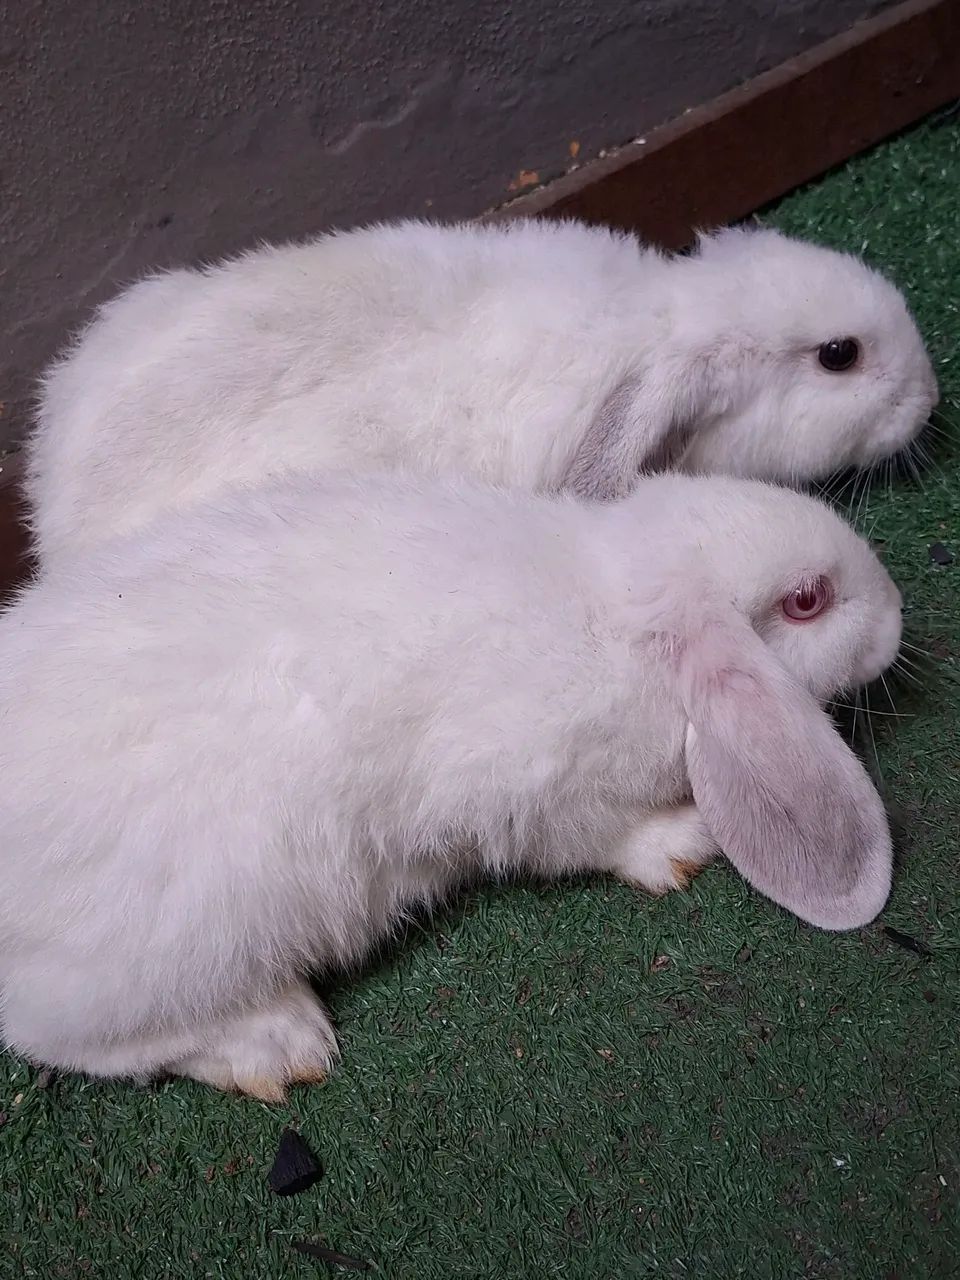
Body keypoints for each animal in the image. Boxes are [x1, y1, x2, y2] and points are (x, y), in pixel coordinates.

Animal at [0, 468, 902, 1099]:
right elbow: (605, 837)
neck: (618, 612)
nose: (897, 617)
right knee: (70, 1036)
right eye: (808, 600)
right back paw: (277, 1043)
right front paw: (687, 842)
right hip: (180, 945)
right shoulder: (546, 796)